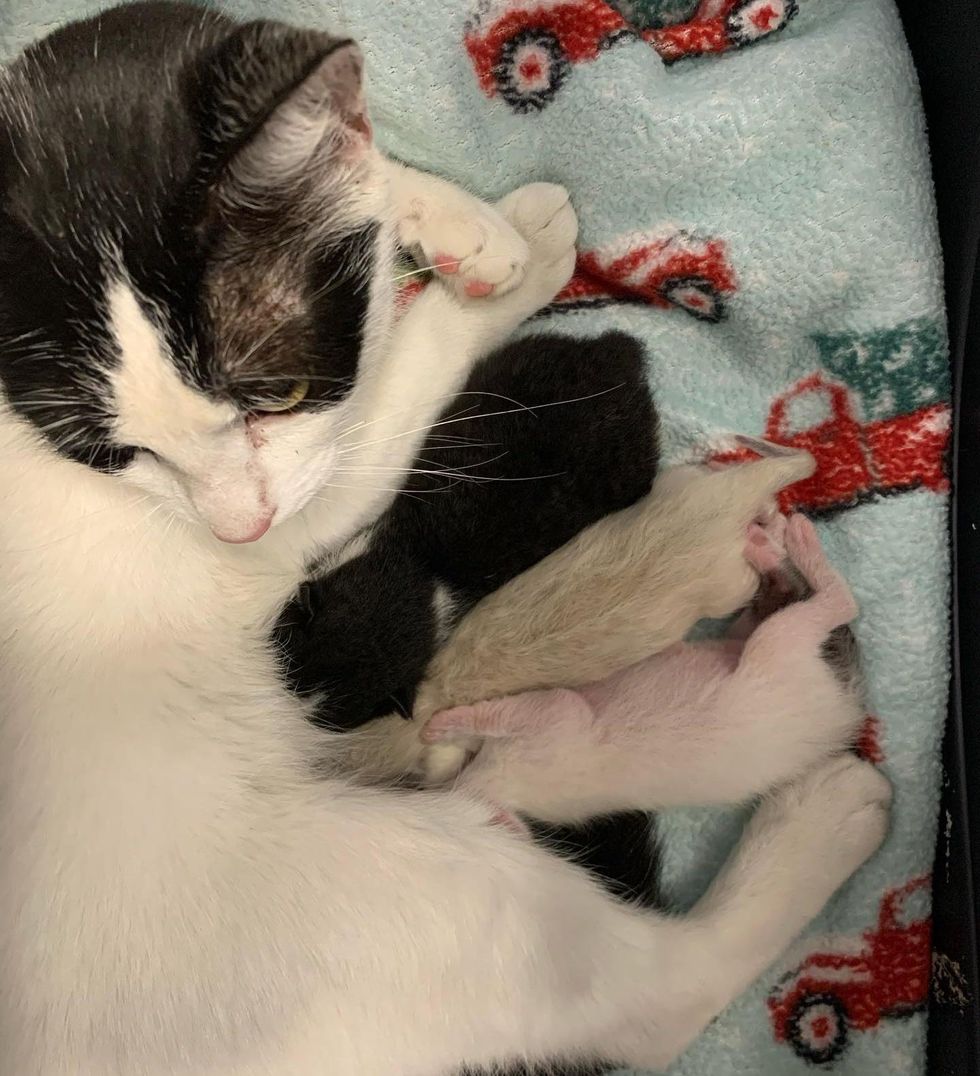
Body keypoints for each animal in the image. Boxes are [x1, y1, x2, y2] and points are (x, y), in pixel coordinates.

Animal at [0, 4, 890, 1071]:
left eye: (275, 393)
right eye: (112, 452)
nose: (236, 523)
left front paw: (443, 215)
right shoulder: (289, 509)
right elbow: (388, 382)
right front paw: (516, 256)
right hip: (417, 895)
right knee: (654, 998)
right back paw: (820, 822)